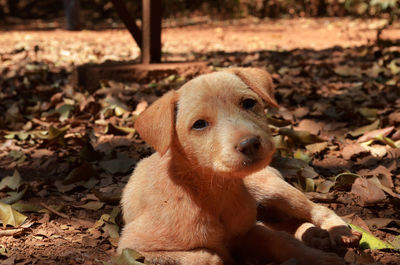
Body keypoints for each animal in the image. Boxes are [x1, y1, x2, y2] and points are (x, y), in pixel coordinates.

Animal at [117, 68, 360, 264]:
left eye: (249, 103)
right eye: (199, 124)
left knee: (314, 210)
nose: (250, 143)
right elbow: (208, 257)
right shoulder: (132, 246)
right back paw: (313, 235)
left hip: (272, 189)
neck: (212, 192)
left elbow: (282, 242)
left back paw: (336, 231)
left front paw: (317, 258)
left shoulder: (249, 230)